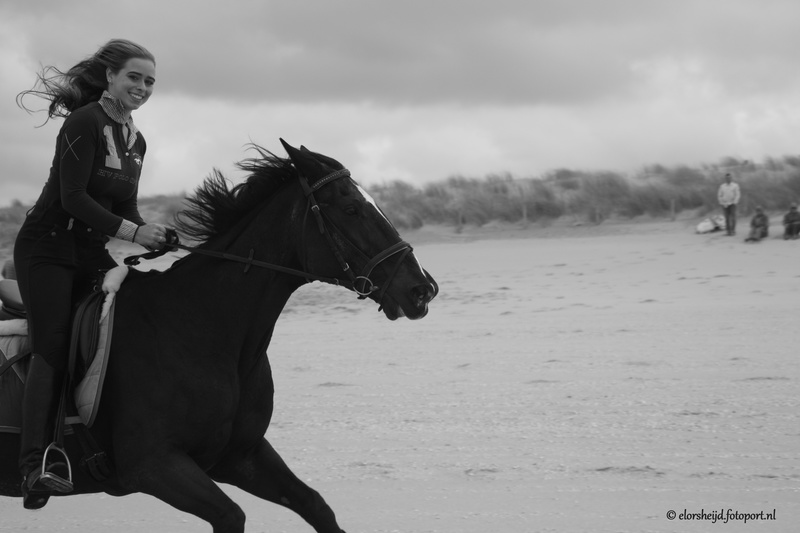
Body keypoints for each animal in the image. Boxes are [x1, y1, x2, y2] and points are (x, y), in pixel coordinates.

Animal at [0, 139, 438, 532]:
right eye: (351, 209)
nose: (422, 289)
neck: (202, 328)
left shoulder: (241, 456)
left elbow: (316, 506)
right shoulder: (153, 465)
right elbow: (232, 515)